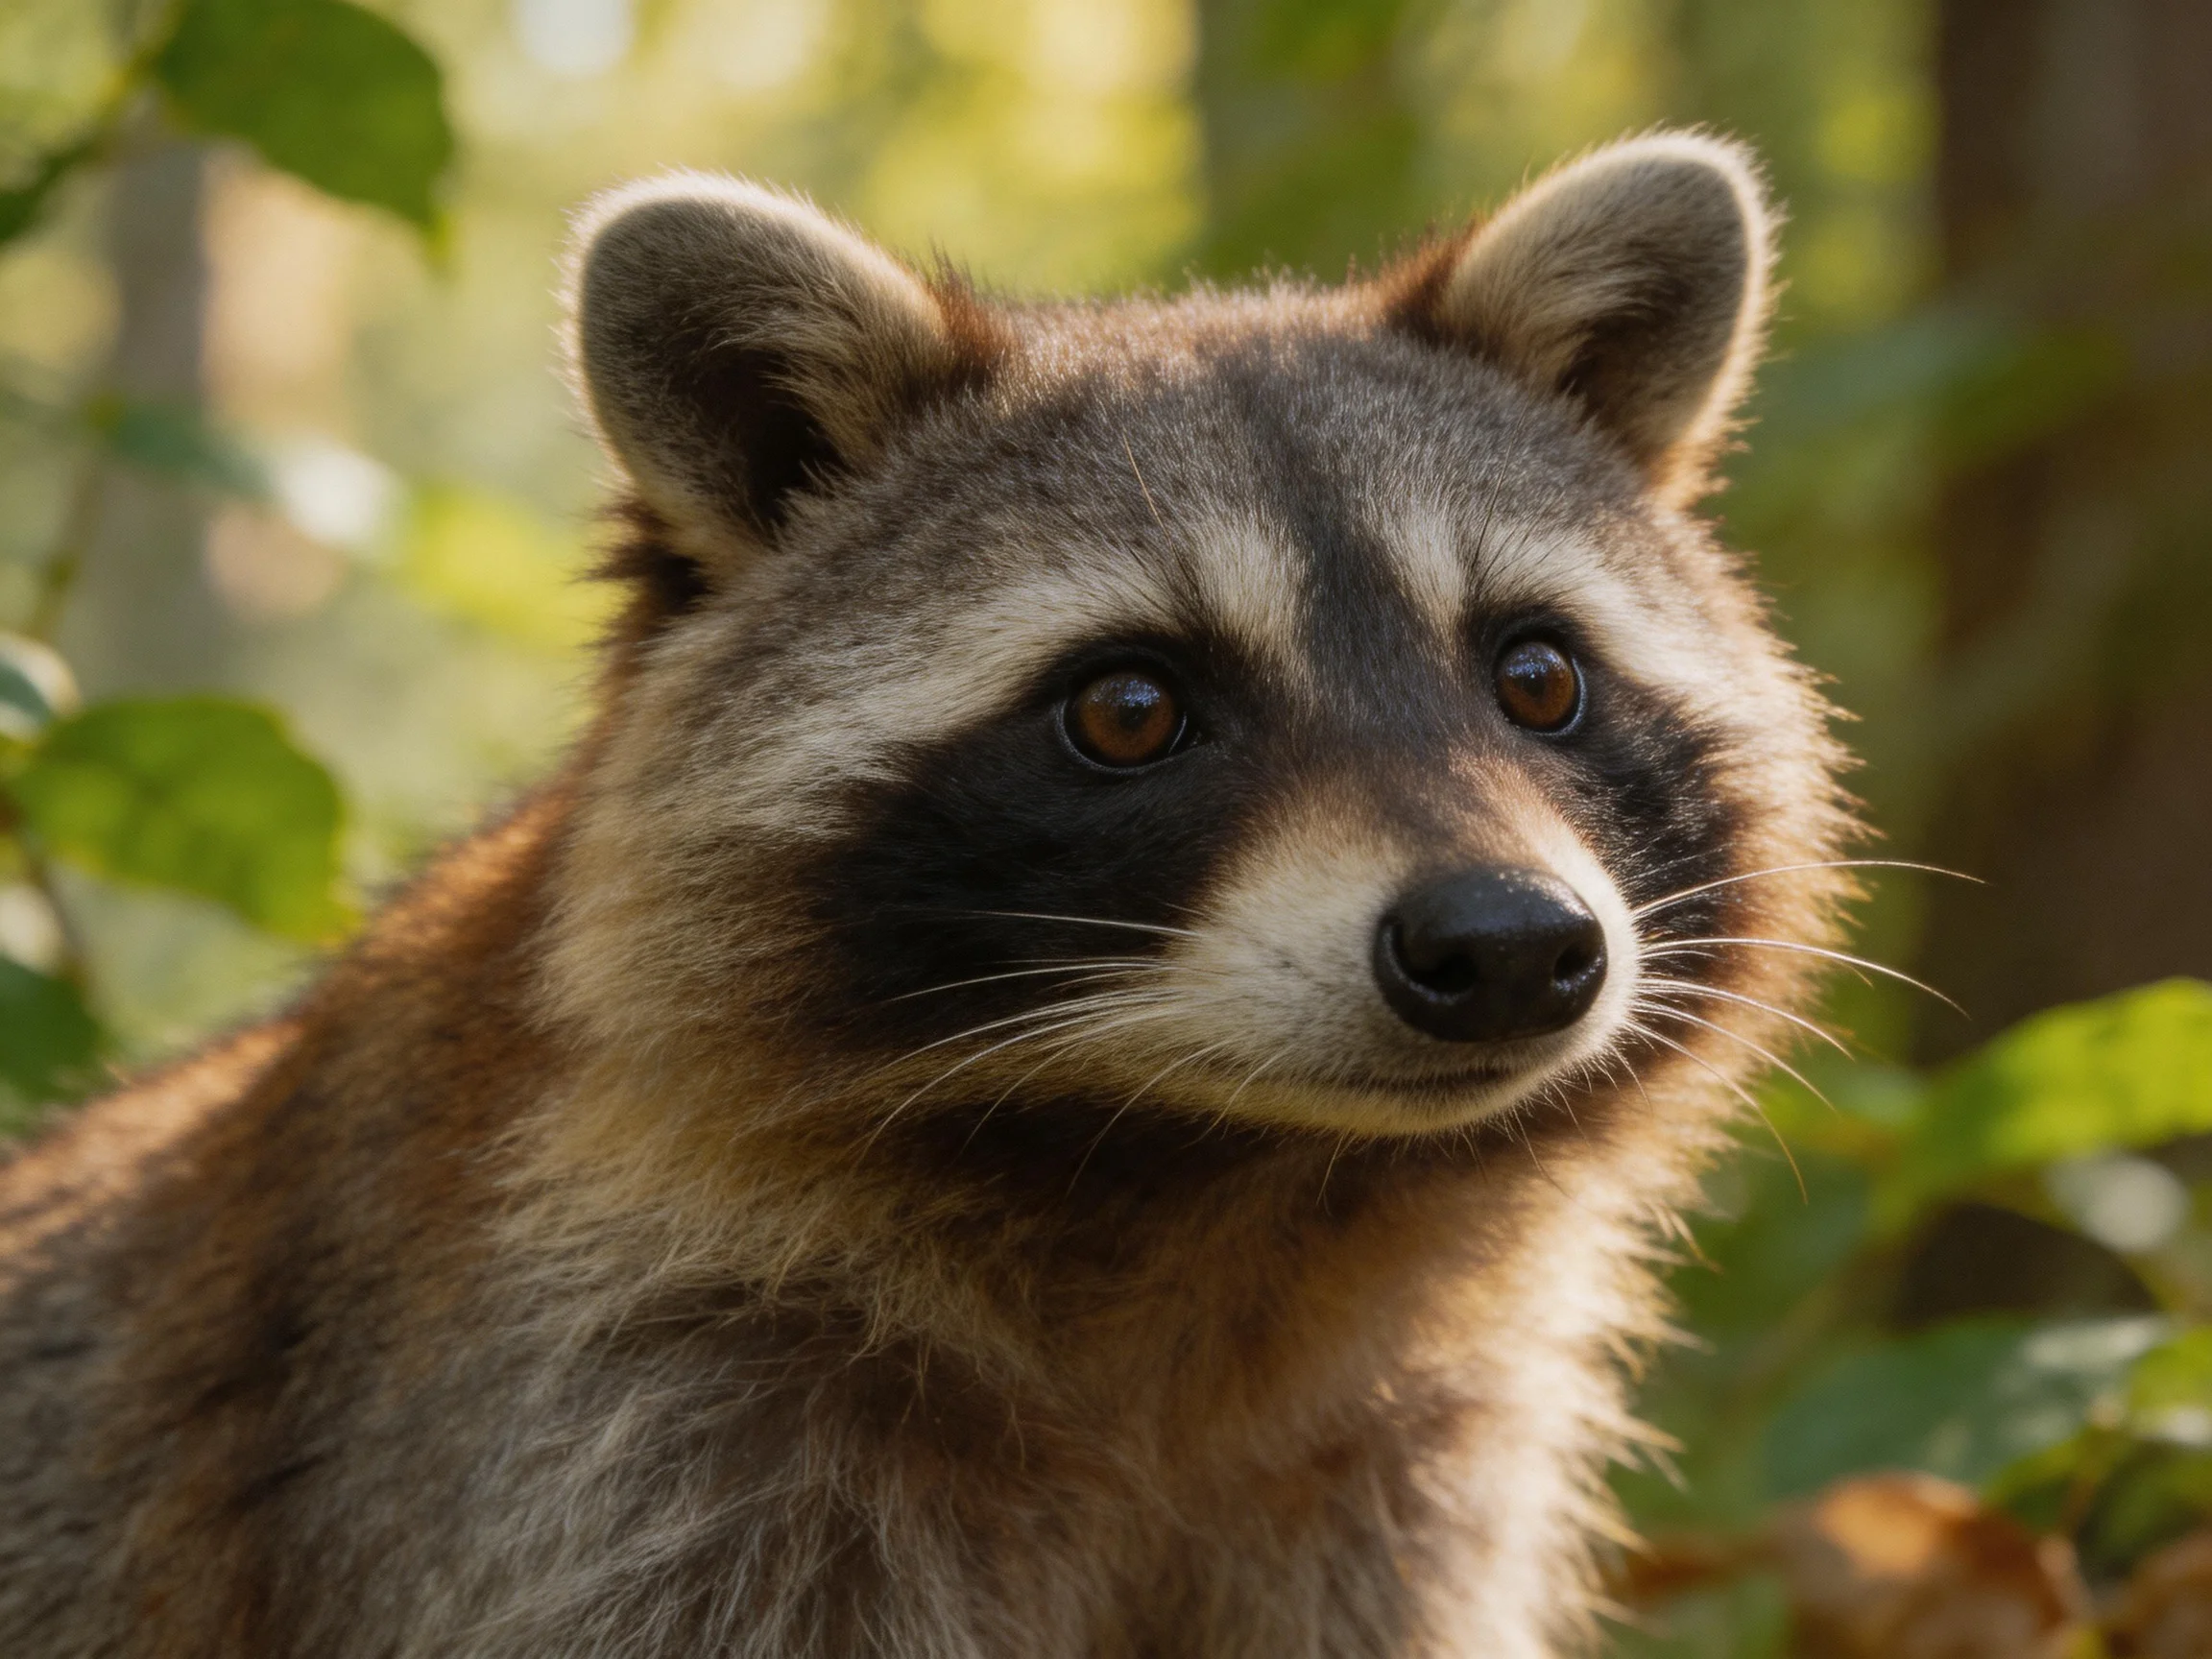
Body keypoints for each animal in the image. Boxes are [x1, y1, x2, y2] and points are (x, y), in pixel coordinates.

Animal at [0, 133, 1852, 1657]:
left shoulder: (1391, 1472)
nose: (1510, 945)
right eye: (1129, 707)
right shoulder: (599, 1445)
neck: (1223, 1189)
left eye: (1536, 676)